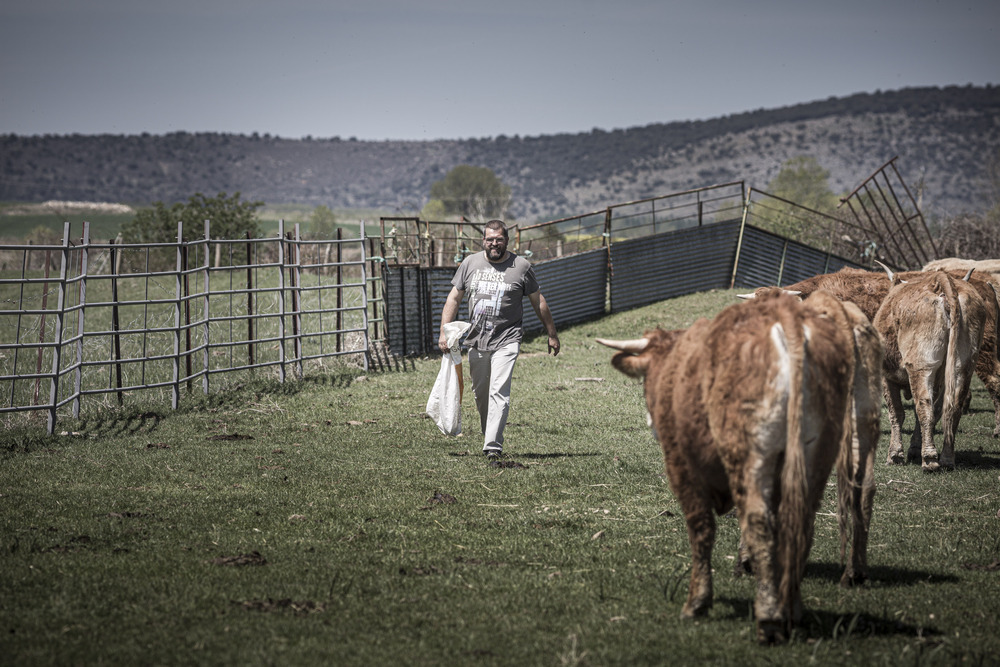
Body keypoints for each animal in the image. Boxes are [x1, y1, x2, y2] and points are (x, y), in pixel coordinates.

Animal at [592, 290, 876, 644]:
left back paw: (768, 618)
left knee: (759, 522)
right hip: (820, 456)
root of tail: (788, 319)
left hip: (751, 456)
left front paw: (697, 601)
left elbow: (701, 529)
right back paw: (795, 607)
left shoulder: (682, 467)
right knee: (806, 523)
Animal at [876, 268, 984, 470]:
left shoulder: (887, 377)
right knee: (952, 407)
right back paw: (947, 459)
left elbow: (896, 413)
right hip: (963, 366)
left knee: (924, 406)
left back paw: (929, 459)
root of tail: (941, 279)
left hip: (921, 365)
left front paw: (895, 455)